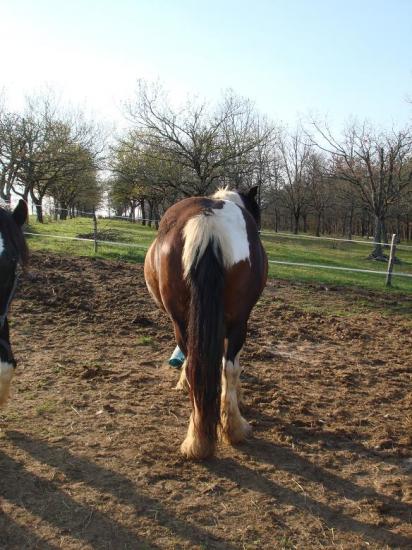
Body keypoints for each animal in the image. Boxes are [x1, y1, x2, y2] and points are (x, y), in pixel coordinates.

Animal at [144, 188, 268, 460]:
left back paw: (198, 438)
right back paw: (233, 429)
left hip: (182, 321)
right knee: (227, 367)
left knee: (197, 364)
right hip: (238, 322)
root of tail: (208, 220)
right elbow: (228, 365)